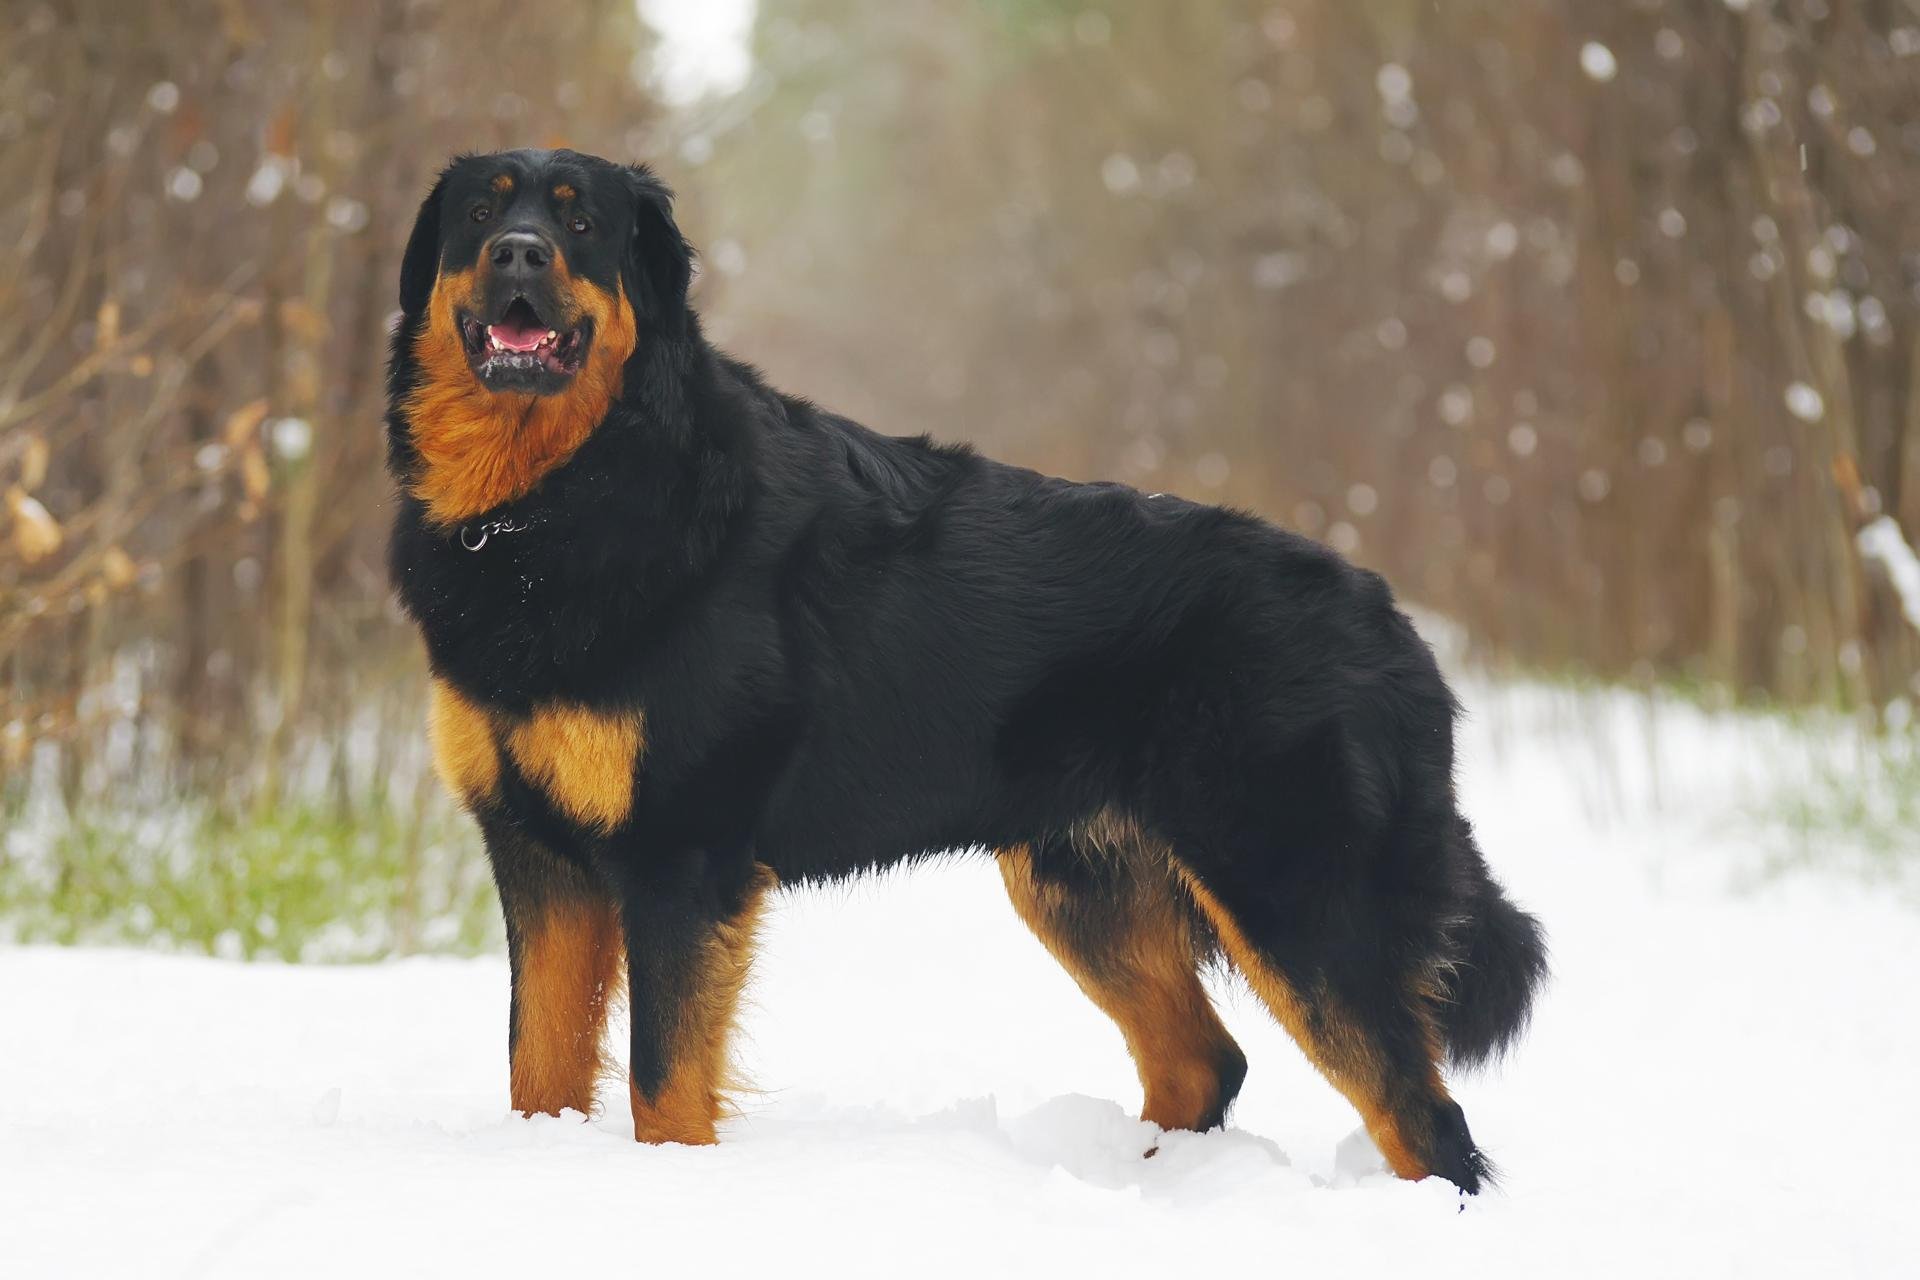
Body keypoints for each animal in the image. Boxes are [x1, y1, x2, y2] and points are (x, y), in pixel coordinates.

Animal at [385, 147, 1543, 1189]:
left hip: (1295, 898)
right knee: (1207, 1065)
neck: (556, 502)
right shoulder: (538, 855)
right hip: (1083, 885)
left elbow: (663, 1083)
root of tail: (1393, 624)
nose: (519, 253)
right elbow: (537, 1067)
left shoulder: (683, 853)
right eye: (482, 212)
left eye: (580, 222)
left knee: (1424, 1121)